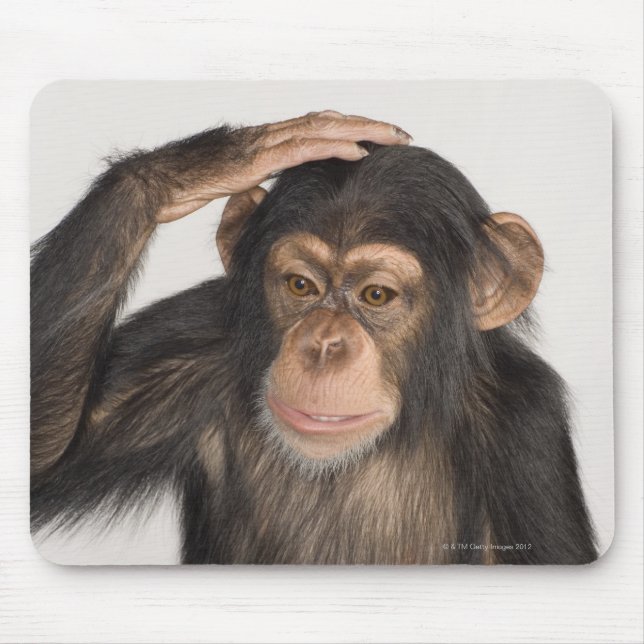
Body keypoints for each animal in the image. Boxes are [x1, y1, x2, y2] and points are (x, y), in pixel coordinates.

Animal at [30, 111, 597, 564]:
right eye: (302, 286)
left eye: (375, 295)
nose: (324, 343)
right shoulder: (191, 345)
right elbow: (50, 457)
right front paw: (213, 162)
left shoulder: (523, 422)